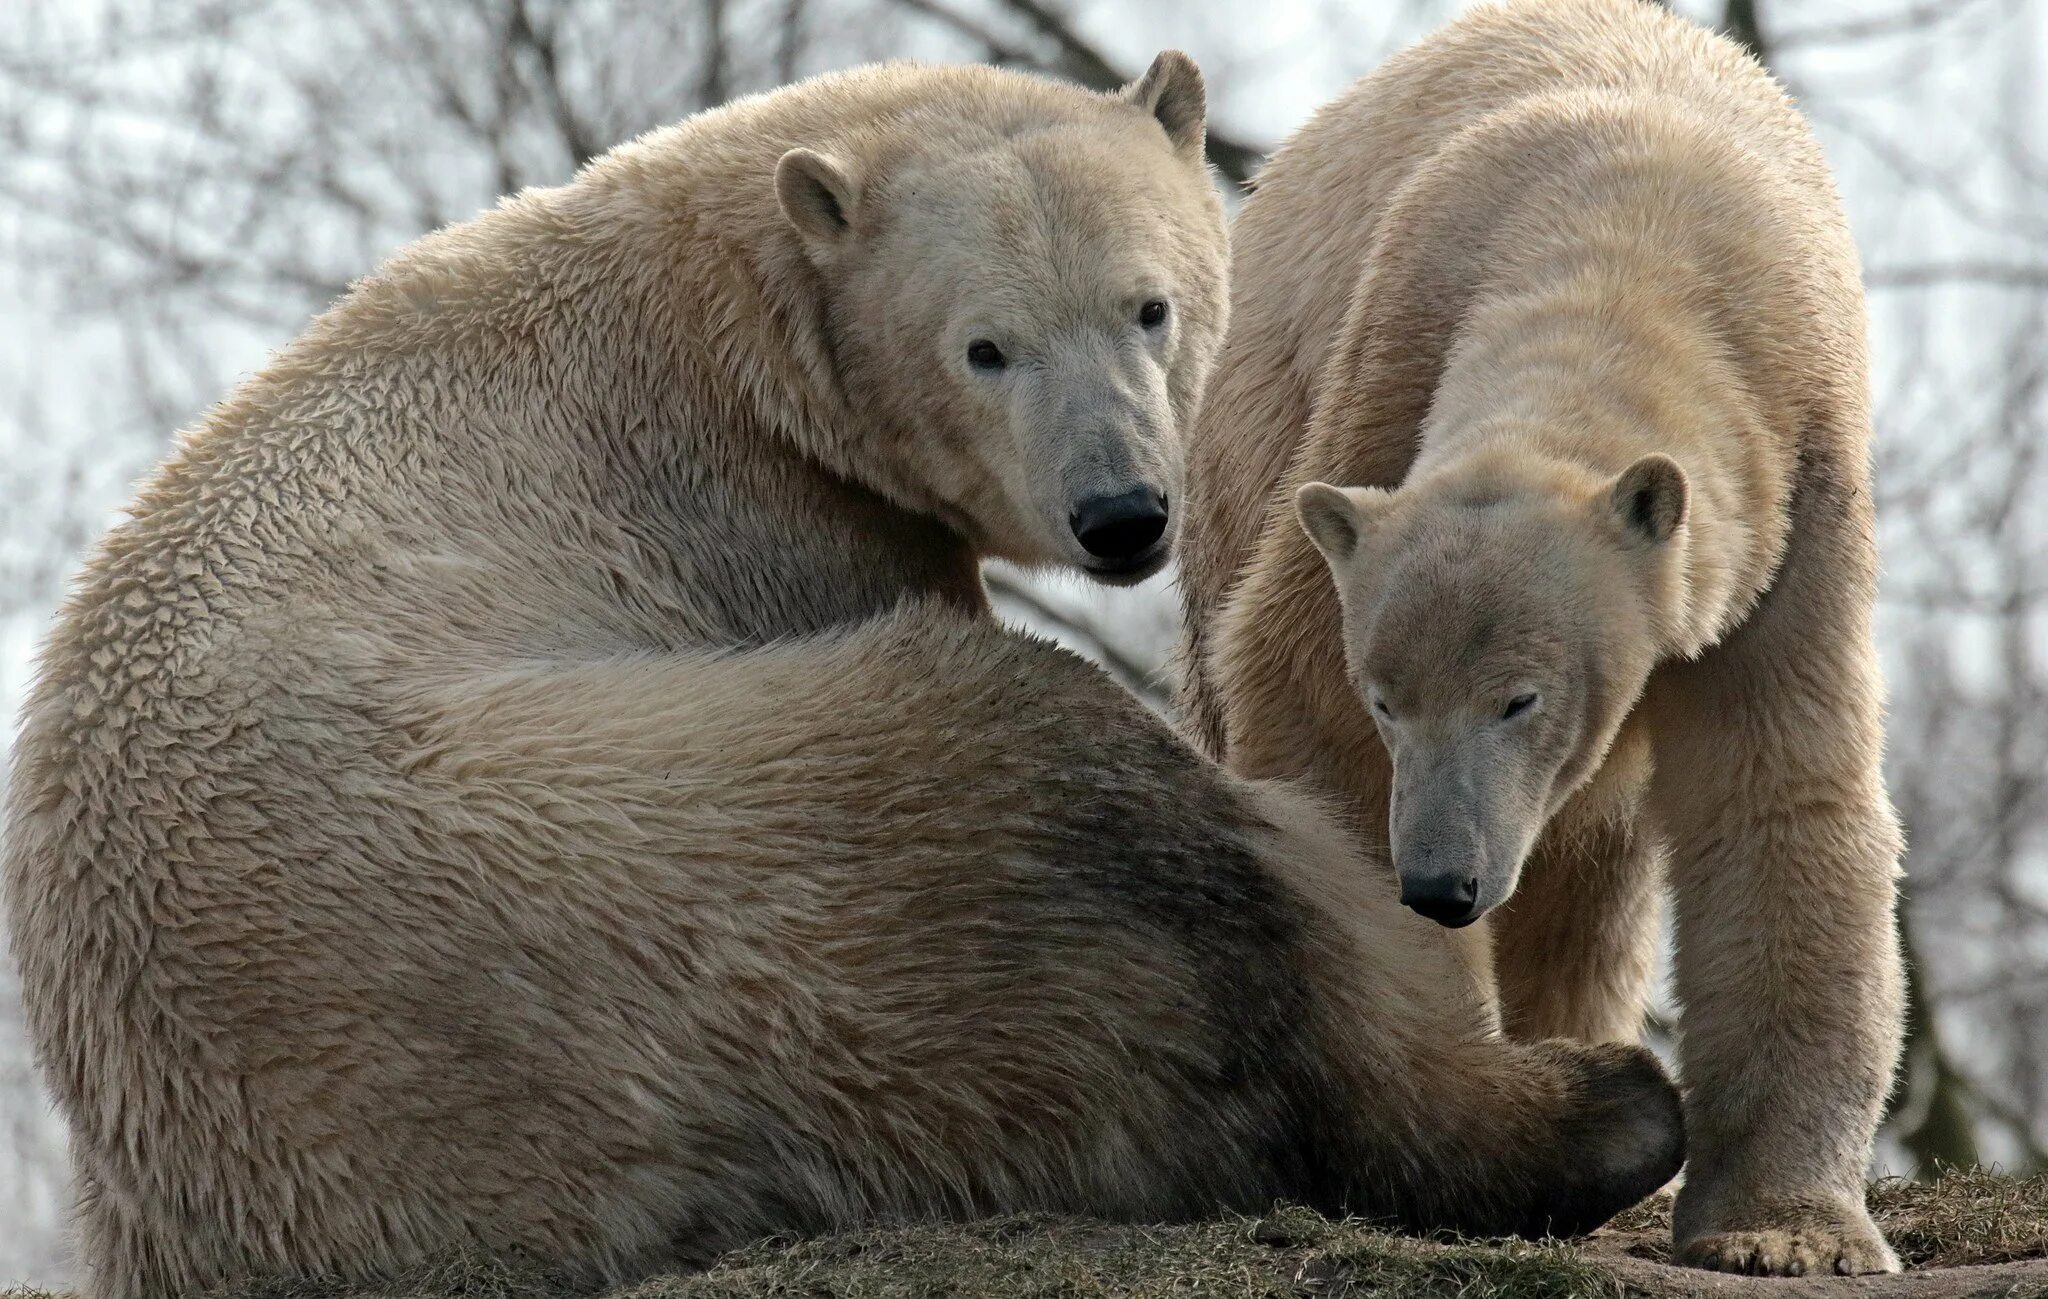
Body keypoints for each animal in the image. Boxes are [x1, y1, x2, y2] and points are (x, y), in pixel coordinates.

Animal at [8, 50, 1687, 1294]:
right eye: (985, 346)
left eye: (1150, 302)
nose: (1123, 512)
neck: (717, 315)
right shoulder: (763, 521)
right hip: (776, 858)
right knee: (1126, 842)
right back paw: (1587, 1100)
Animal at [1179, 0, 1908, 1278]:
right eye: (1386, 701)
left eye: (1519, 698)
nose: (1441, 882)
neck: (1634, 240)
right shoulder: (1389, 375)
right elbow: (1302, 701)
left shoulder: (1795, 488)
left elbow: (1778, 788)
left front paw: (1784, 1232)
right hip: (1240, 451)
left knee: (1587, 875)